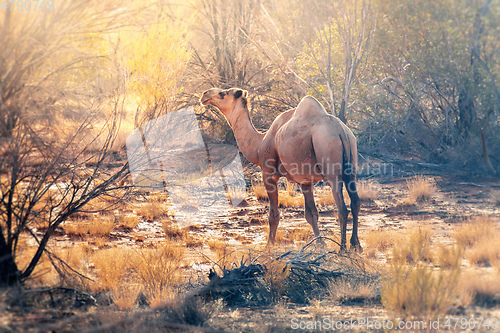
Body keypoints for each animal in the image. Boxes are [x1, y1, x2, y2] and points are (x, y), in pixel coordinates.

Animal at [201, 87, 362, 250]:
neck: (258, 144)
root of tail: (340, 131)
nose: (205, 94)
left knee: (342, 208)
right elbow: (311, 214)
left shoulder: (268, 174)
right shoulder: (305, 181)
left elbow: (273, 215)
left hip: (330, 163)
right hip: (351, 166)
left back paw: (342, 249)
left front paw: (268, 246)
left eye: (223, 93)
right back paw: (356, 245)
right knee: (355, 202)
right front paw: (320, 243)